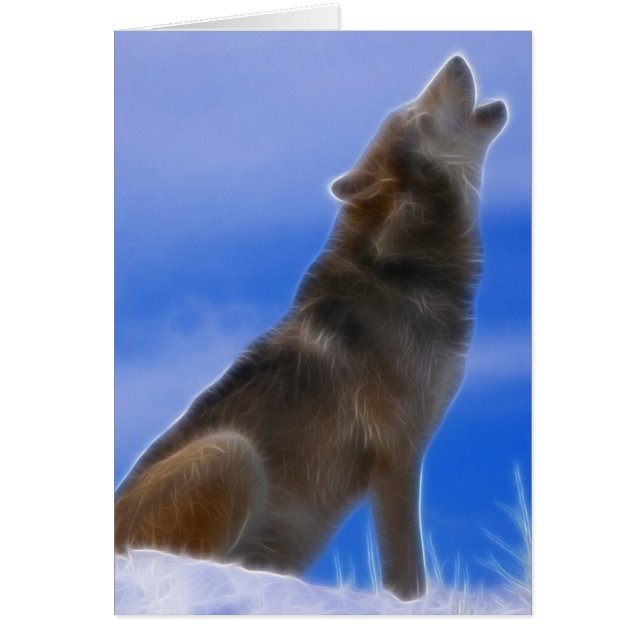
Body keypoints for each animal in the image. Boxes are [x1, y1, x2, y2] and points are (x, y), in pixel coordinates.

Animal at [115, 56, 508, 601]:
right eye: (417, 116)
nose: (455, 60)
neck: (408, 270)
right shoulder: (397, 455)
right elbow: (406, 567)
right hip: (231, 452)